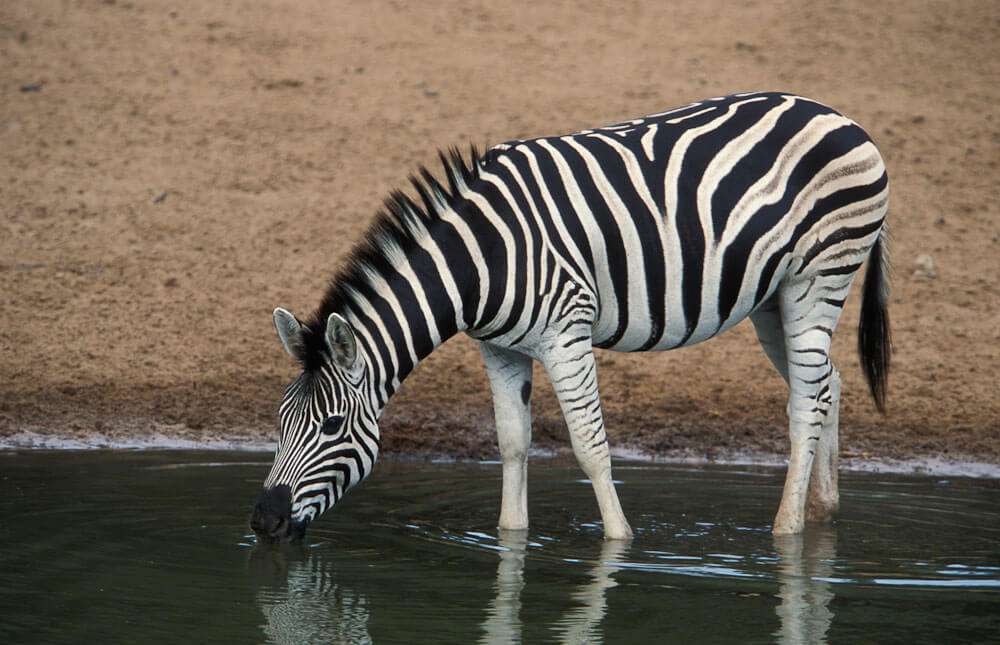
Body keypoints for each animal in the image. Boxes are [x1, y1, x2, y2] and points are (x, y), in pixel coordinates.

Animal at [250, 91, 891, 542]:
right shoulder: (498, 347)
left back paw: (786, 532)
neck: (481, 260)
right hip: (771, 299)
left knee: (806, 402)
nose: (263, 522)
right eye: (279, 421)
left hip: (818, 279)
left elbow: (590, 446)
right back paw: (822, 514)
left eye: (333, 427)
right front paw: (511, 539)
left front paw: (619, 543)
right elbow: (512, 443)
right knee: (825, 385)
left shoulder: (567, 333)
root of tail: (840, 117)